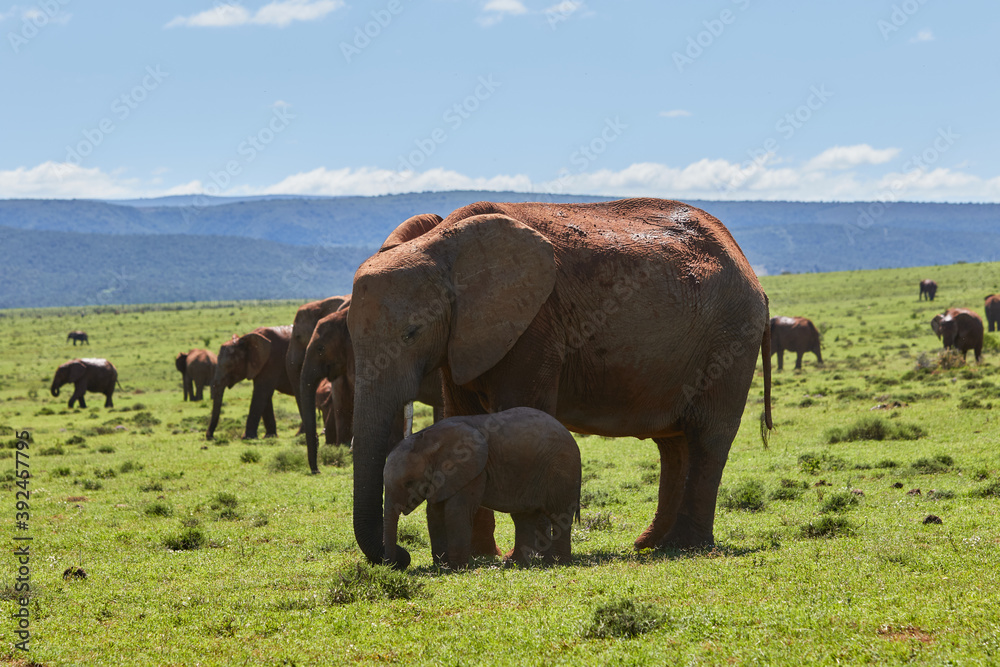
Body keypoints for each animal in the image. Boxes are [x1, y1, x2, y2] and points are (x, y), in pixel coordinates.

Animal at [383, 407, 581, 569]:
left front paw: (456, 568)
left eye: (409, 482)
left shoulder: (472, 470)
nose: (394, 565)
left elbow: (456, 511)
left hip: (561, 470)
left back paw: (557, 562)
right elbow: (434, 513)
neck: (428, 439)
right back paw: (516, 563)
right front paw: (441, 566)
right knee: (523, 517)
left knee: (558, 515)